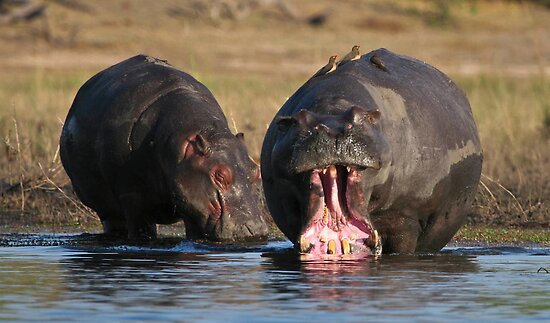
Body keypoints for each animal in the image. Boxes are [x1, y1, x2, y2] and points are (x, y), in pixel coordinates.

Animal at [59, 55, 270, 240]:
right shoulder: (132, 198)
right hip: (107, 210)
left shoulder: (194, 208)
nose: (255, 230)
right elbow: (141, 230)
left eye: (256, 171)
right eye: (219, 175)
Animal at [262, 48, 484, 256]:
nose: (332, 129)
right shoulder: (289, 211)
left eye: (362, 116)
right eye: (298, 120)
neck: (333, 105)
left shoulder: (405, 216)